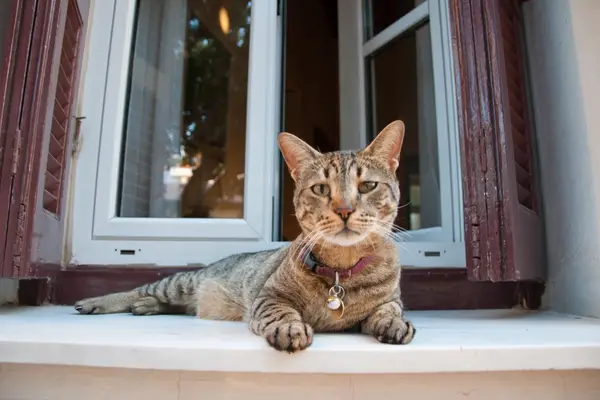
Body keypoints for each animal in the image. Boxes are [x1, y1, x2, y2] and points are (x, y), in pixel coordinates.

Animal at [75, 120, 414, 352]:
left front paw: (394, 323)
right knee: (140, 289)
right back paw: (98, 302)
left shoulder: (392, 299)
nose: (344, 209)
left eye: (368, 186)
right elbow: (281, 312)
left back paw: (147, 307)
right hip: (182, 282)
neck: (341, 272)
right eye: (320, 188)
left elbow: (388, 309)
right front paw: (290, 328)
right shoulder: (269, 296)